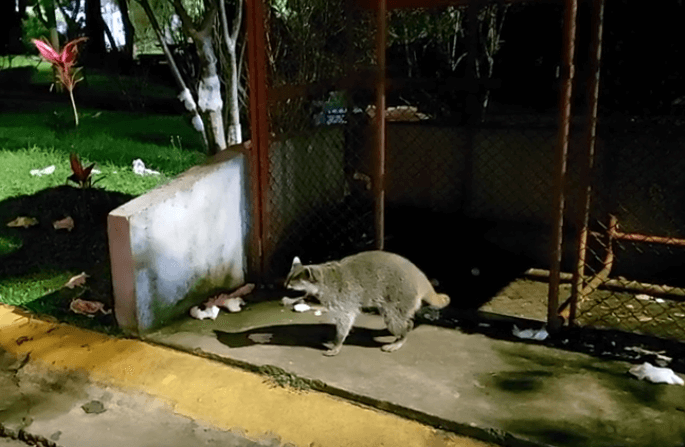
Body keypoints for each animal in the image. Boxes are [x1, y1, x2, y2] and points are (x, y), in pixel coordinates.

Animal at [284, 252, 448, 356]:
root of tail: (420, 276)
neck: (323, 276)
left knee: (394, 320)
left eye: (292, 284)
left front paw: (338, 341)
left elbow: (346, 318)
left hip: (401, 294)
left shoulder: (342, 297)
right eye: (287, 280)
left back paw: (402, 335)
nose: (284, 287)